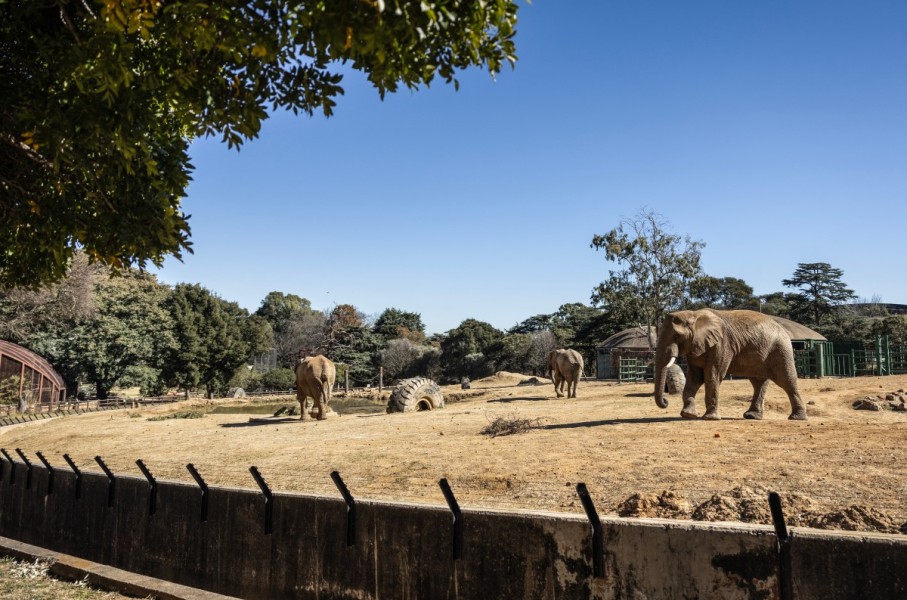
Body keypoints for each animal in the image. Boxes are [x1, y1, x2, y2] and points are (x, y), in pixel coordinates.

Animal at [653, 309, 807, 421]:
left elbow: (713, 375)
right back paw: (752, 416)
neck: (694, 314)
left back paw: (797, 418)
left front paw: (710, 418)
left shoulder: (722, 345)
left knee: (786, 381)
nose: (666, 401)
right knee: (758, 382)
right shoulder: (694, 348)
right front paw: (688, 415)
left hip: (780, 349)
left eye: (677, 336)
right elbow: (695, 378)